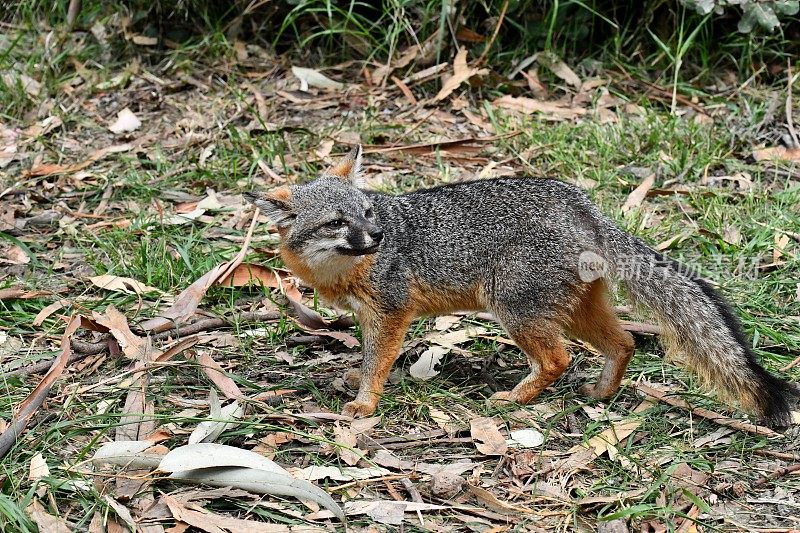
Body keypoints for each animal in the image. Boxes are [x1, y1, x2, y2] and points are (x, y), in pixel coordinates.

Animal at [247, 144, 796, 424]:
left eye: (366, 214)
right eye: (337, 223)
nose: (379, 236)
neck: (339, 272)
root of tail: (583, 205)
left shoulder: (392, 313)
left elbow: (375, 364)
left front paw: (364, 403)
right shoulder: (368, 316)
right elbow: (364, 357)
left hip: (514, 308)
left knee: (558, 358)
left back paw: (516, 398)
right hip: (573, 309)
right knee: (623, 341)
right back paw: (601, 393)